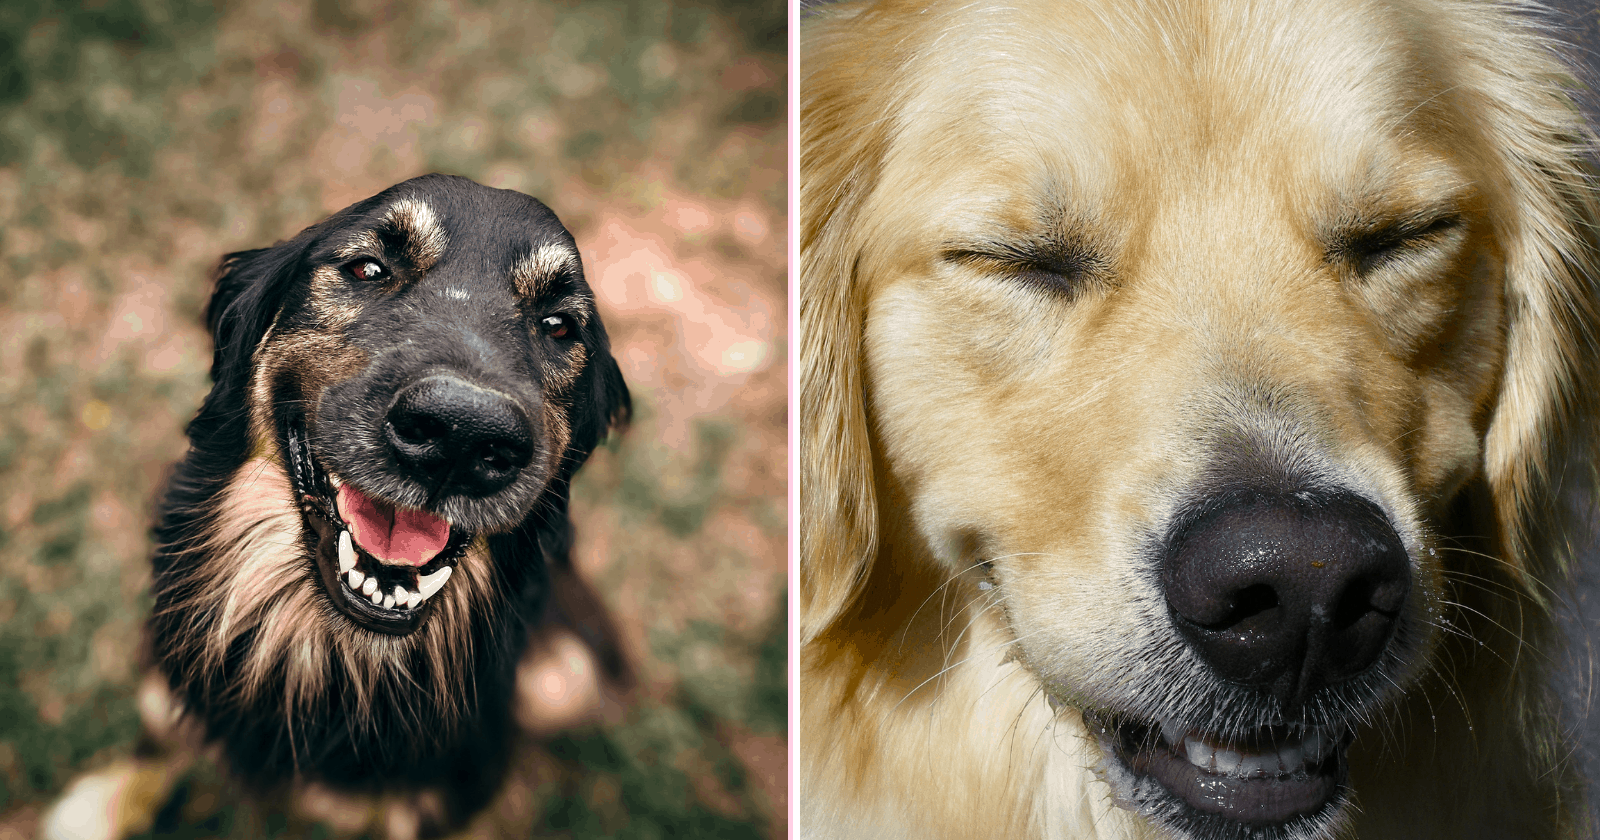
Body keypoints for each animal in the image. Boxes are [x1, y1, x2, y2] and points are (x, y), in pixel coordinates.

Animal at [87, 173, 627, 832]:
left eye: (557, 325)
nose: (460, 437)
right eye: (369, 269)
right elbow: (158, 730)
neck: (329, 652)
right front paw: (105, 805)